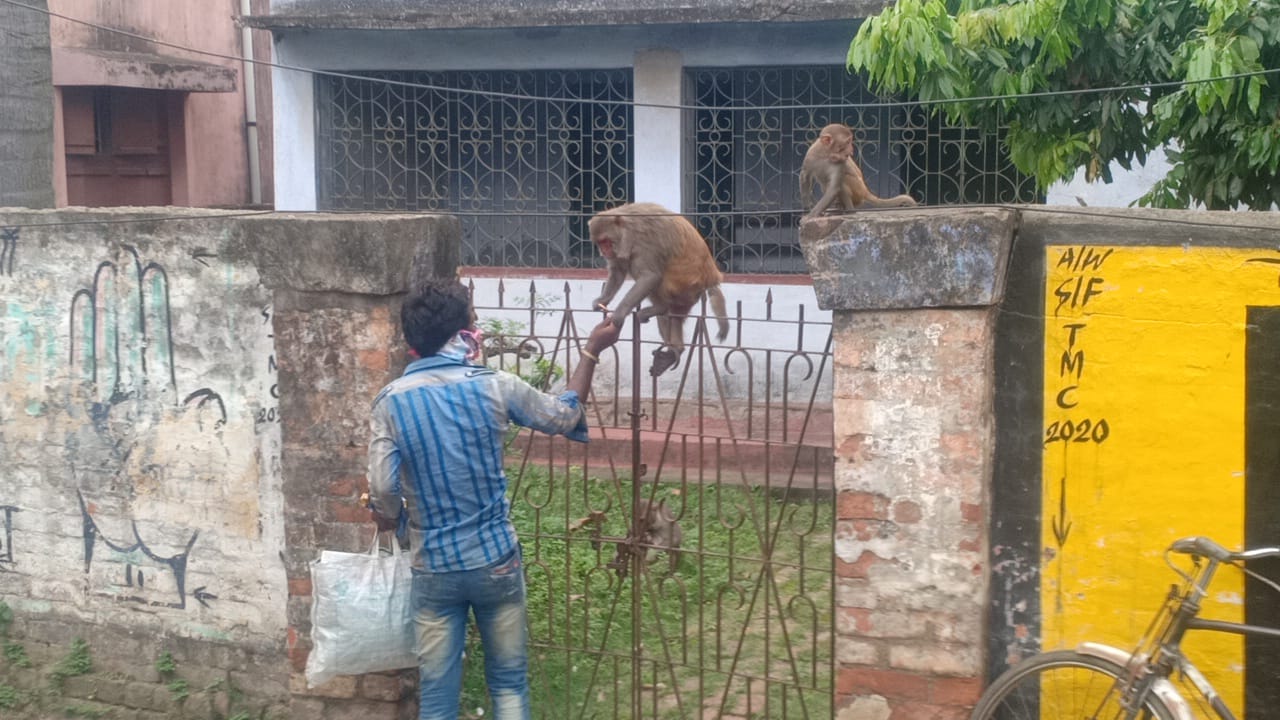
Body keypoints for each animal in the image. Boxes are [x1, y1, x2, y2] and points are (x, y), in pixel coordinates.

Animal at [588, 198, 732, 371]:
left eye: (606, 241)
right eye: (599, 243)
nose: (603, 252)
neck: (628, 228)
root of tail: (711, 278)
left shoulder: (643, 240)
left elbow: (650, 276)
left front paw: (619, 314)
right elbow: (618, 271)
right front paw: (602, 300)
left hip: (684, 285)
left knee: (655, 277)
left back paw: (660, 308)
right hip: (687, 296)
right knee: (674, 315)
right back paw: (675, 350)